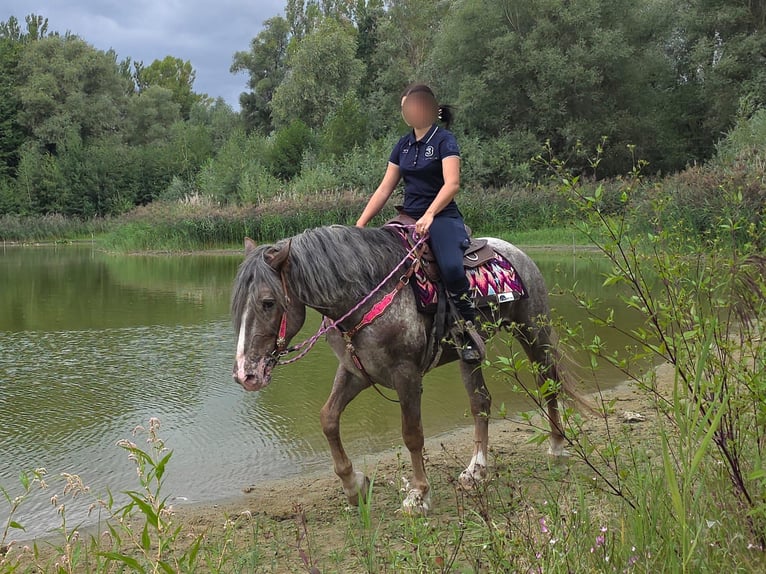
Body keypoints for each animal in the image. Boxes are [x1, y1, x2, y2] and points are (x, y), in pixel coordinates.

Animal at [231, 224, 585, 514]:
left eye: (267, 302)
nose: (246, 374)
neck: (364, 296)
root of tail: (516, 252)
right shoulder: (356, 372)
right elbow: (328, 418)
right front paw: (354, 486)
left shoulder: (407, 376)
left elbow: (412, 434)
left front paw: (419, 496)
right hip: (469, 355)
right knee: (480, 402)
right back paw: (476, 471)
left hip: (533, 331)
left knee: (548, 383)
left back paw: (556, 446)